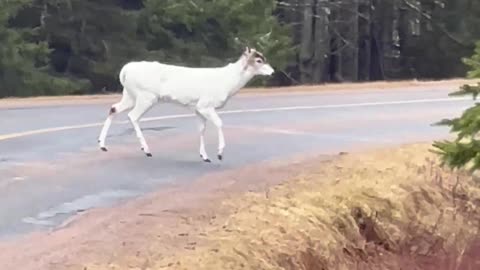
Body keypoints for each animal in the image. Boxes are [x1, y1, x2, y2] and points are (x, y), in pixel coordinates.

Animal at [96, 46, 274, 161]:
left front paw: (205, 156)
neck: (228, 82)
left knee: (114, 108)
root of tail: (125, 70)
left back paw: (103, 145)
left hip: (130, 95)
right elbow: (219, 123)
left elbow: (201, 129)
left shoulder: (198, 108)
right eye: (259, 60)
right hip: (146, 96)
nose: (272, 72)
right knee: (133, 116)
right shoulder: (205, 104)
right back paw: (146, 150)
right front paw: (219, 153)